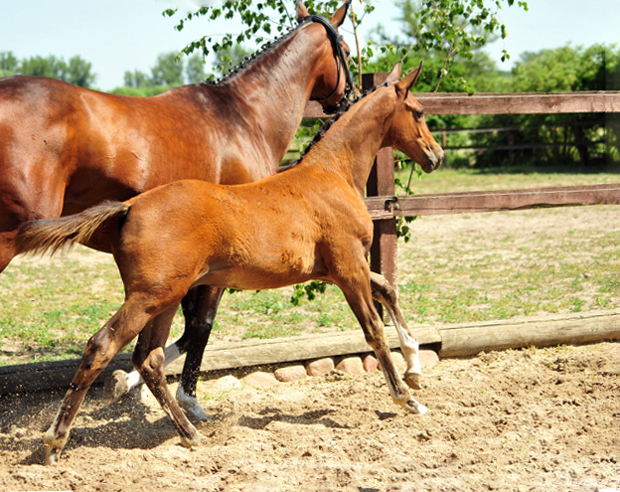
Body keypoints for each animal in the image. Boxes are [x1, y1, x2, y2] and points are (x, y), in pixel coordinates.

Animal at [0, 1, 354, 420]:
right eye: (346, 49)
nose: (349, 99)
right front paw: (189, 400)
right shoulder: (221, 261)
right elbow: (200, 325)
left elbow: (176, 330)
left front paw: (125, 383)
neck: (242, 117)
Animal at [14, 62, 446, 466]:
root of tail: (129, 206)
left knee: (149, 359)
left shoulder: (340, 268)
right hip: (150, 296)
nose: (437, 156)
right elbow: (373, 330)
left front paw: (414, 366)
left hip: (165, 297)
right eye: (419, 111)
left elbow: (387, 288)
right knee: (103, 346)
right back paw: (54, 443)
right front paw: (407, 399)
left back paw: (191, 434)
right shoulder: (347, 268)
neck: (331, 175)